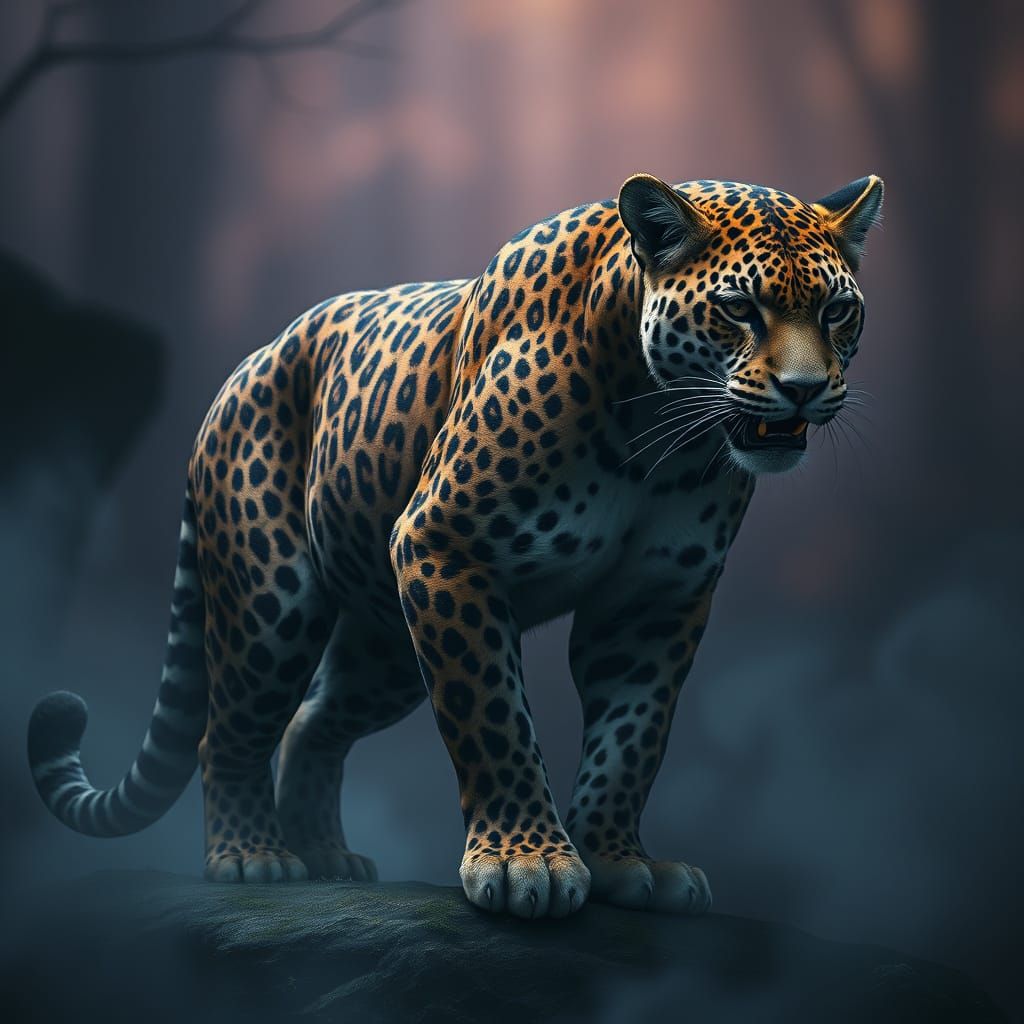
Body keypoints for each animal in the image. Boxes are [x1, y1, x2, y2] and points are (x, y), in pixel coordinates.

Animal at [28, 172, 883, 919]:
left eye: (840, 311)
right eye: (739, 307)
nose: (806, 390)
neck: (656, 435)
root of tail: (245, 367)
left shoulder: (654, 600)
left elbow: (633, 737)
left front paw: (619, 861)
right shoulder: (446, 548)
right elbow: (493, 714)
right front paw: (526, 864)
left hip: (382, 648)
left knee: (311, 722)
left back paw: (328, 856)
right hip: (271, 599)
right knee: (229, 729)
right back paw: (251, 857)